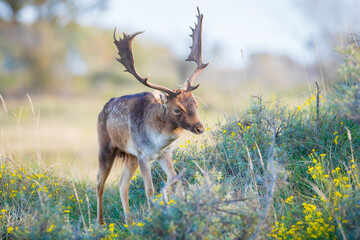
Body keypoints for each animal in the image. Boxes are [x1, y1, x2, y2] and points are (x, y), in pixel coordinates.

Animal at [96, 7, 208, 225]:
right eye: (177, 109)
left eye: (195, 103)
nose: (200, 127)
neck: (159, 141)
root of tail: (103, 108)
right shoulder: (143, 155)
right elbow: (150, 189)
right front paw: (154, 215)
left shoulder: (165, 154)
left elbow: (175, 180)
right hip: (106, 146)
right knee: (99, 182)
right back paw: (100, 223)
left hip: (129, 155)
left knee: (122, 184)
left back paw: (129, 221)